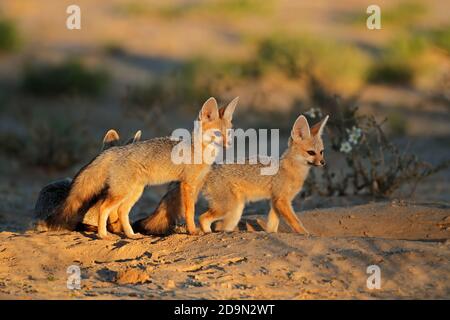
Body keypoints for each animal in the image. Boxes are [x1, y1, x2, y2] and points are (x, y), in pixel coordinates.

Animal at [44, 96, 239, 239]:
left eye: (228, 133)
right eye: (217, 134)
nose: (229, 144)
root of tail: (115, 150)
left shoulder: (196, 185)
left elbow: (193, 211)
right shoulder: (187, 185)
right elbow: (189, 212)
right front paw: (192, 231)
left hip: (135, 192)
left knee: (121, 211)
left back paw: (131, 235)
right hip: (122, 192)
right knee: (104, 208)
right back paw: (103, 235)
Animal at [135, 114, 328, 234]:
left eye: (322, 152)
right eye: (311, 153)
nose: (323, 163)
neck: (291, 170)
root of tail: (210, 168)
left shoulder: (275, 202)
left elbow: (272, 225)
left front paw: (271, 233)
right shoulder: (282, 200)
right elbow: (296, 222)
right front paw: (306, 234)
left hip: (235, 210)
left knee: (219, 225)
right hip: (229, 206)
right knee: (204, 218)